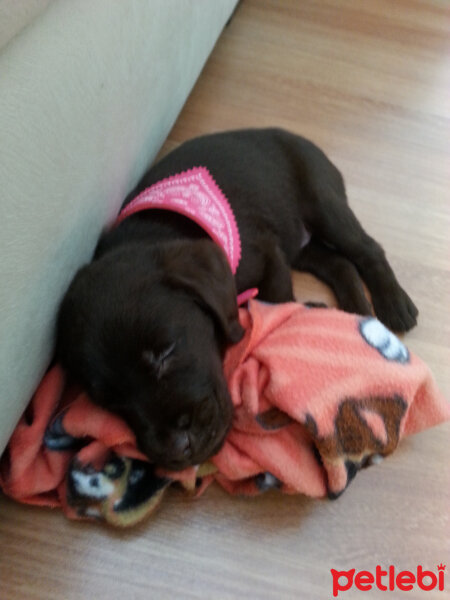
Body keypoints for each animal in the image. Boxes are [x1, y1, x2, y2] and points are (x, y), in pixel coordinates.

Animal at [57, 129, 418, 472]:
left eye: (166, 353)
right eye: (109, 401)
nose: (178, 448)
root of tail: (299, 139)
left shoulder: (267, 253)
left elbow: (277, 301)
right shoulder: (276, 251)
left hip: (322, 203)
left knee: (367, 250)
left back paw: (392, 305)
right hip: (299, 243)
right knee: (340, 264)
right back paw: (357, 311)